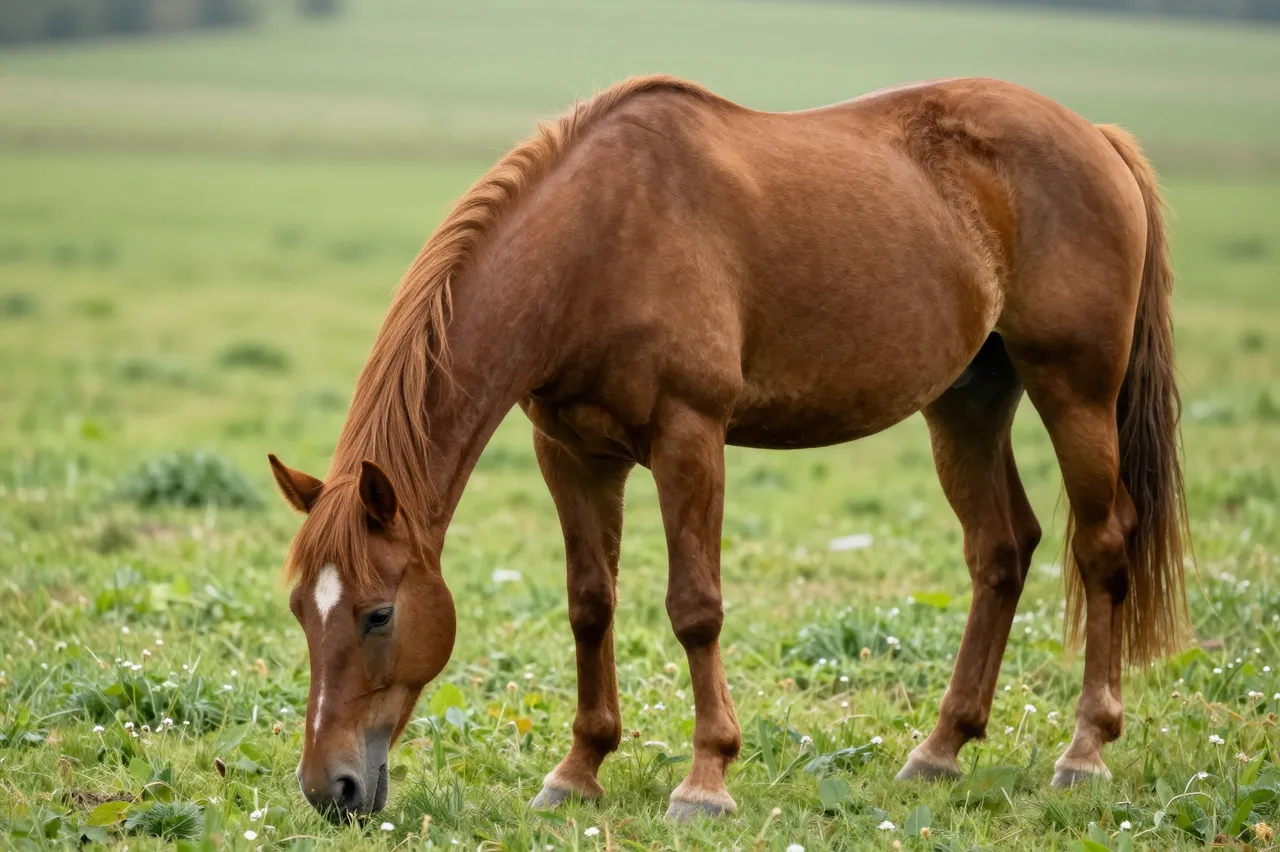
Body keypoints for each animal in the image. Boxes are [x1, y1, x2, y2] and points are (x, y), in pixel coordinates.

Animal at [268, 74, 1189, 821]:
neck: (597, 242)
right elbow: (589, 604)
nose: (329, 789)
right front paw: (579, 770)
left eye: (379, 613)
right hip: (967, 402)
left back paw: (1085, 751)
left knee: (1102, 546)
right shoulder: (570, 452)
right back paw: (940, 750)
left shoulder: (690, 435)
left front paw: (705, 779)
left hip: (1074, 391)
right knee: (1001, 550)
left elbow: (694, 607)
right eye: (301, 611)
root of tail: (1095, 135)